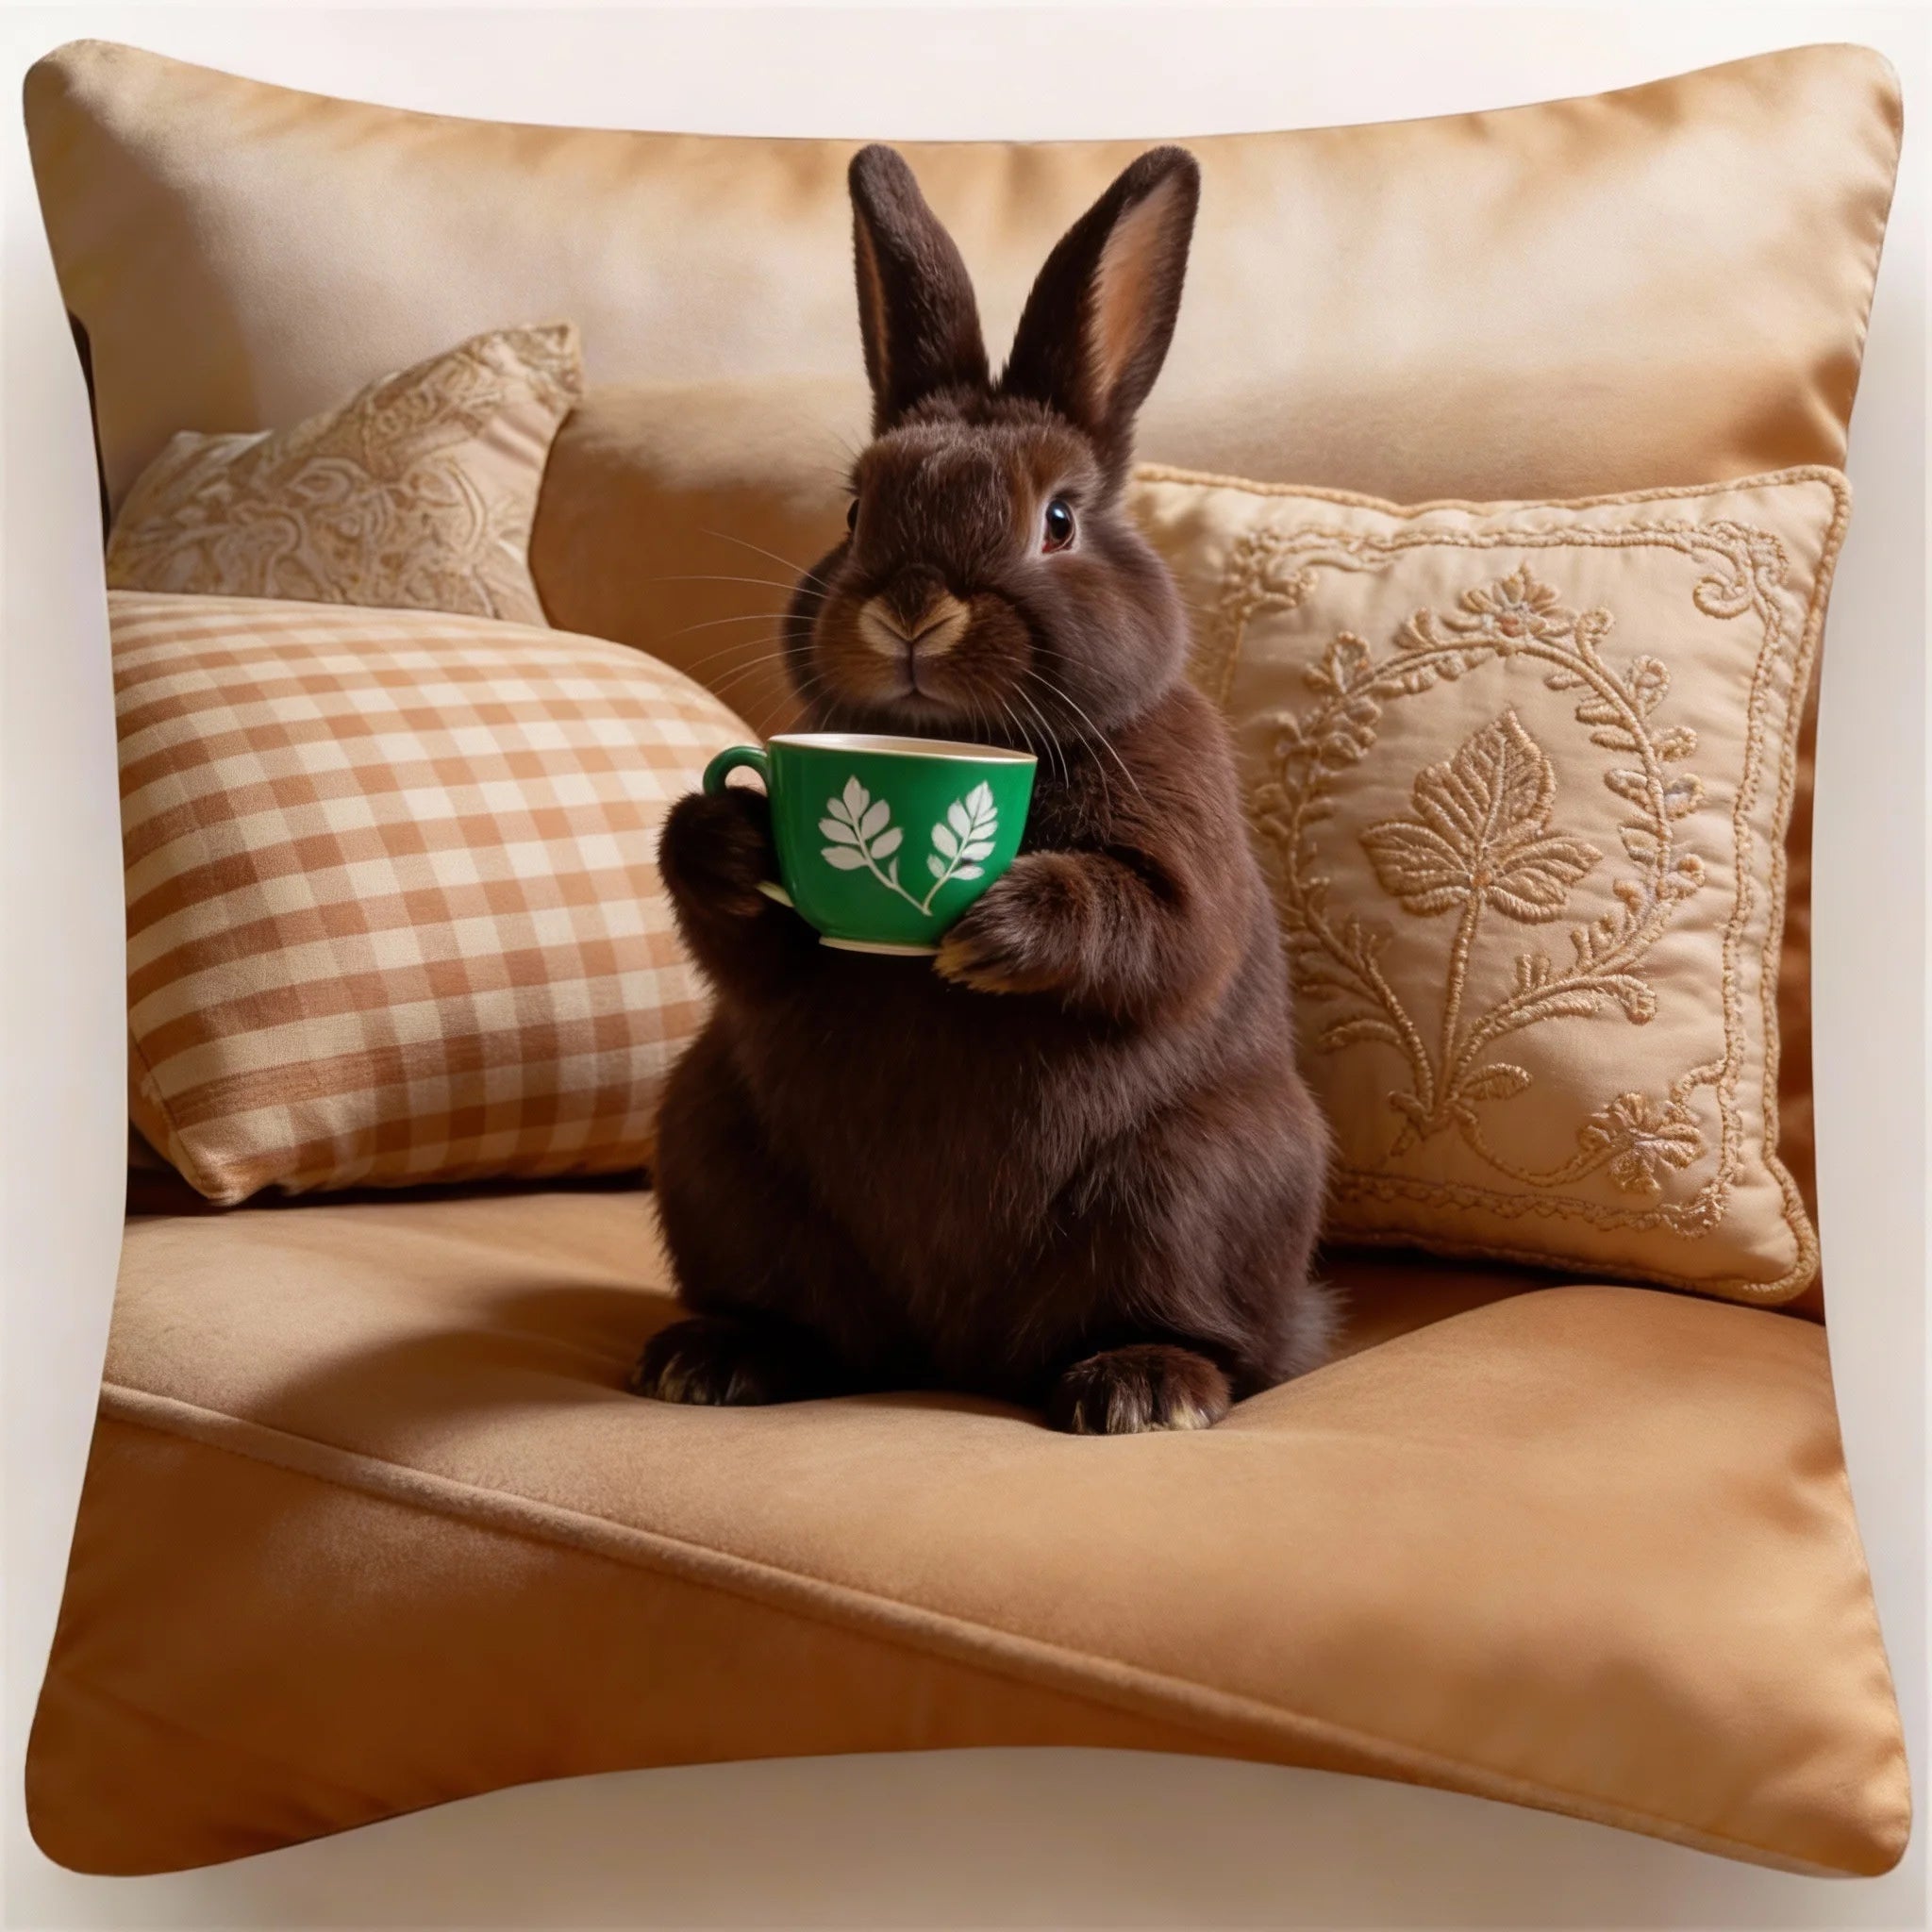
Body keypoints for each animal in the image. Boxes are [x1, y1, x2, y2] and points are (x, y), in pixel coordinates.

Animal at [629, 142, 1334, 1434]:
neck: (961, 744)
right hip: (712, 1145)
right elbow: (744, 940)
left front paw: (993, 929)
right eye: (855, 507)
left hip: (1198, 1179)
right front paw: (726, 839)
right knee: (811, 1320)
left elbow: (1152, 927)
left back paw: (1141, 1387)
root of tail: (948, 1352)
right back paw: (716, 1357)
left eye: (1056, 519)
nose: (912, 605)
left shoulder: (1185, 849)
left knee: (1208, 1336)